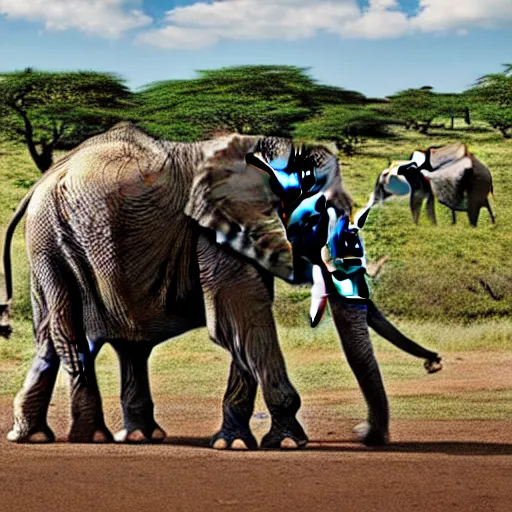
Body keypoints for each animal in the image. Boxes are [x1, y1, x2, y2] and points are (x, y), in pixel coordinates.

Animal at [0, 123, 440, 448]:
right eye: (318, 219)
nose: (363, 434)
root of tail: (42, 181)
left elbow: (242, 326)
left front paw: (234, 443)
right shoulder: (212, 231)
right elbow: (240, 316)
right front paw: (288, 443)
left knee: (62, 339)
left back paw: (80, 436)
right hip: (51, 239)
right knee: (70, 333)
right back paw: (90, 438)